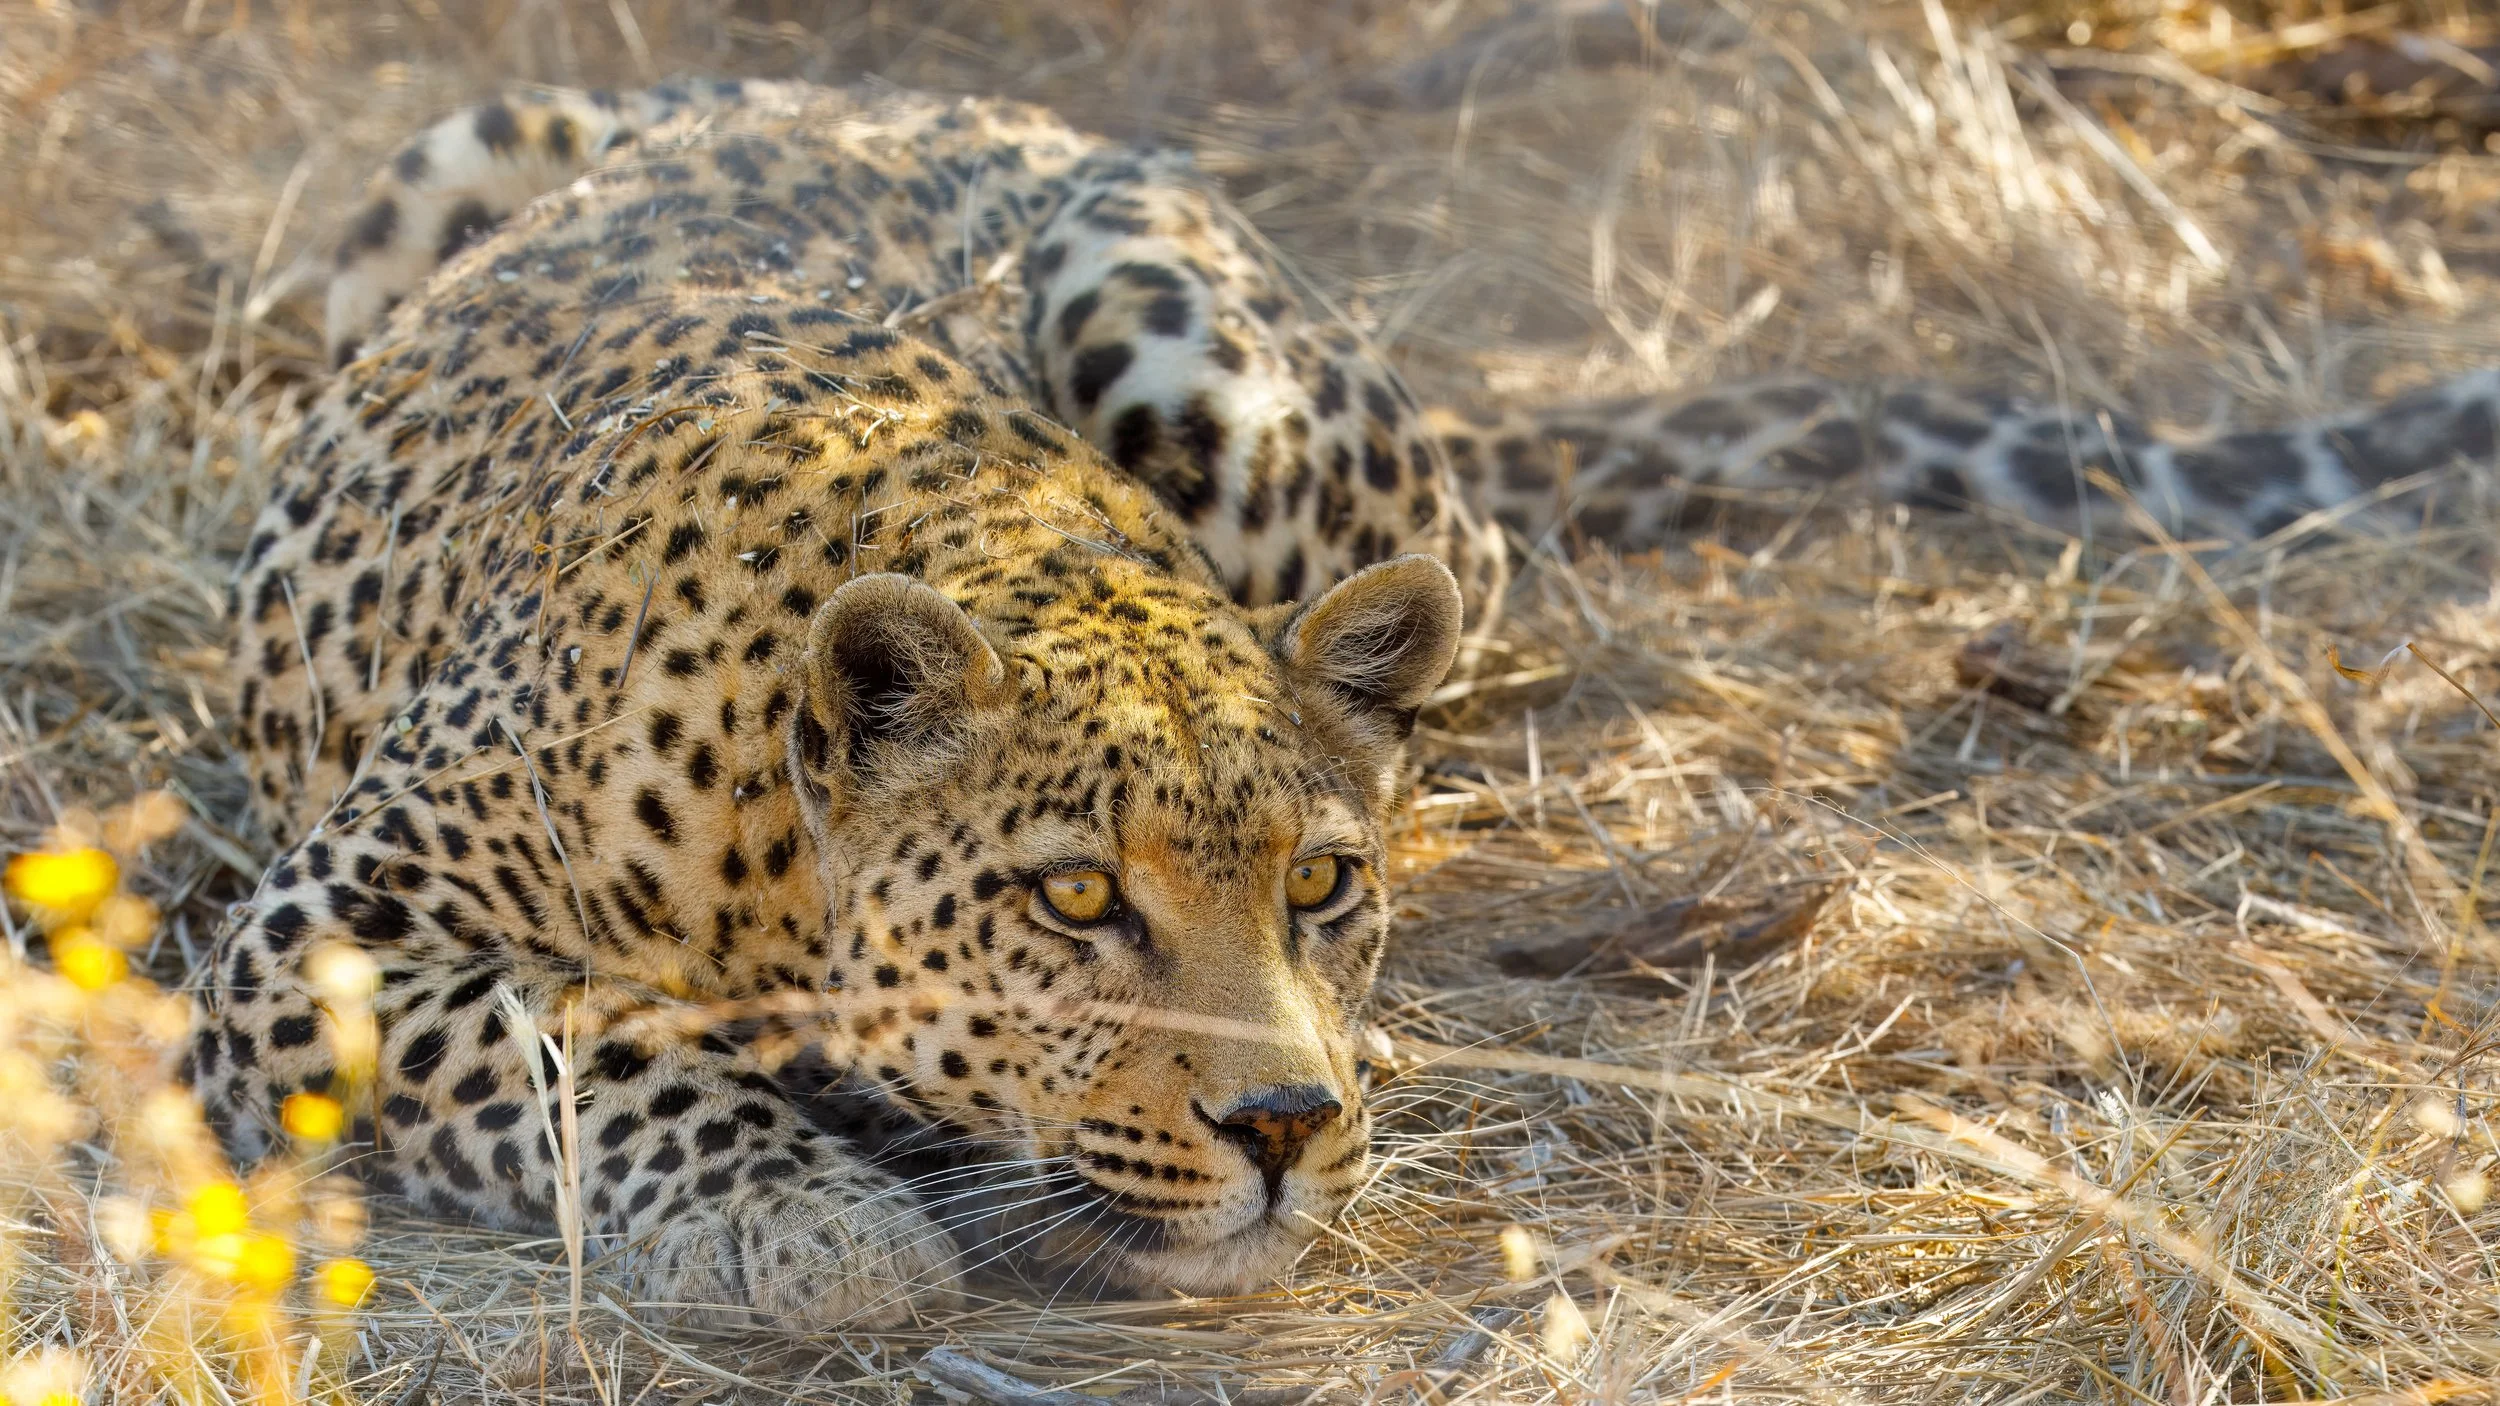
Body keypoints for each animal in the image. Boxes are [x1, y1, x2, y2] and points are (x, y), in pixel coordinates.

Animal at [199, 75, 2499, 1331]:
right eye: (1071, 899)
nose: (1288, 1129)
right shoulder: (306, 942)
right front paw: (799, 1216)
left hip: (1196, 338)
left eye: (1319, 885)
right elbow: (582, 1042)